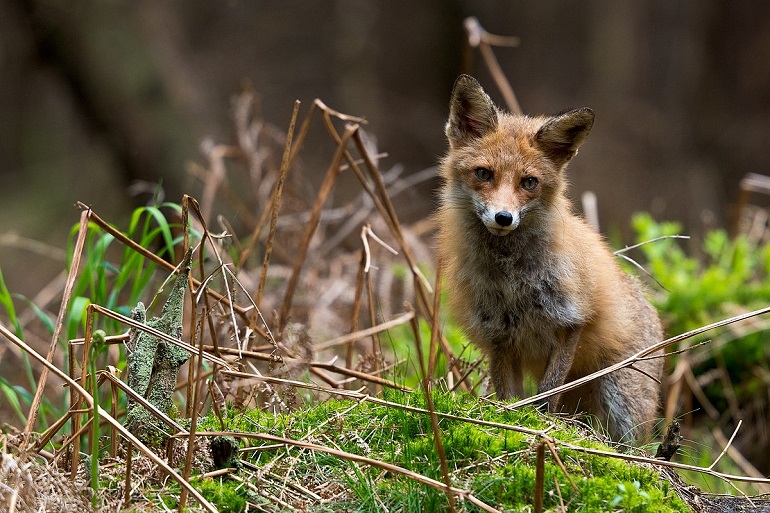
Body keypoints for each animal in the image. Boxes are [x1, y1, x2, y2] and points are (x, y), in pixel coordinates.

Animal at [437, 75, 663, 444]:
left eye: (529, 182)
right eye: (483, 174)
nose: (503, 218)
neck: (512, 279)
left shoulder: (571, 320)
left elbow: (547, 392)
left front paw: (541, 426)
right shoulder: (499, 336)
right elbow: (510, 395)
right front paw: (513, 422)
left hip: (622, 401)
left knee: (632, 447)